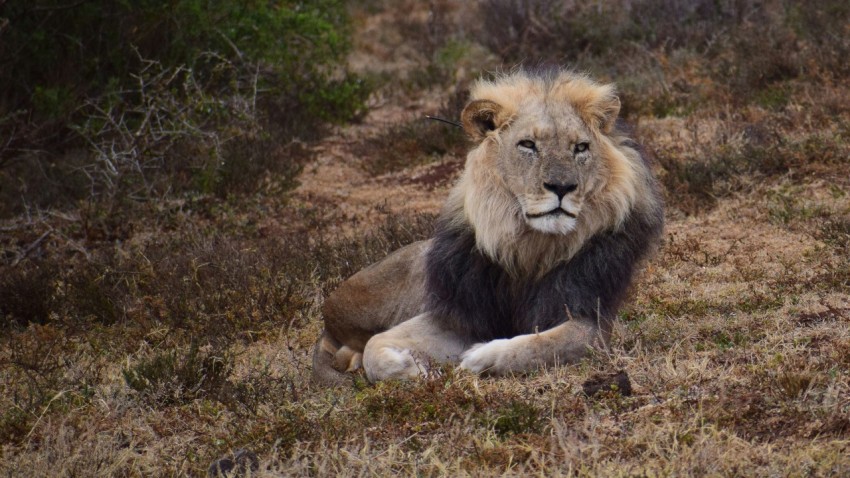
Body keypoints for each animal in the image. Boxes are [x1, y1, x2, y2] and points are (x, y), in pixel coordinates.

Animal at [310, 69, 664, 386]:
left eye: (580, 148)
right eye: (528, 145)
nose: (562, 187)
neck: (529, 247)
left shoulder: (593, 322)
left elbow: (542, 345)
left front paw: (480, 358)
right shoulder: (462, 311)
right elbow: (377, 345)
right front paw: (412, 369)